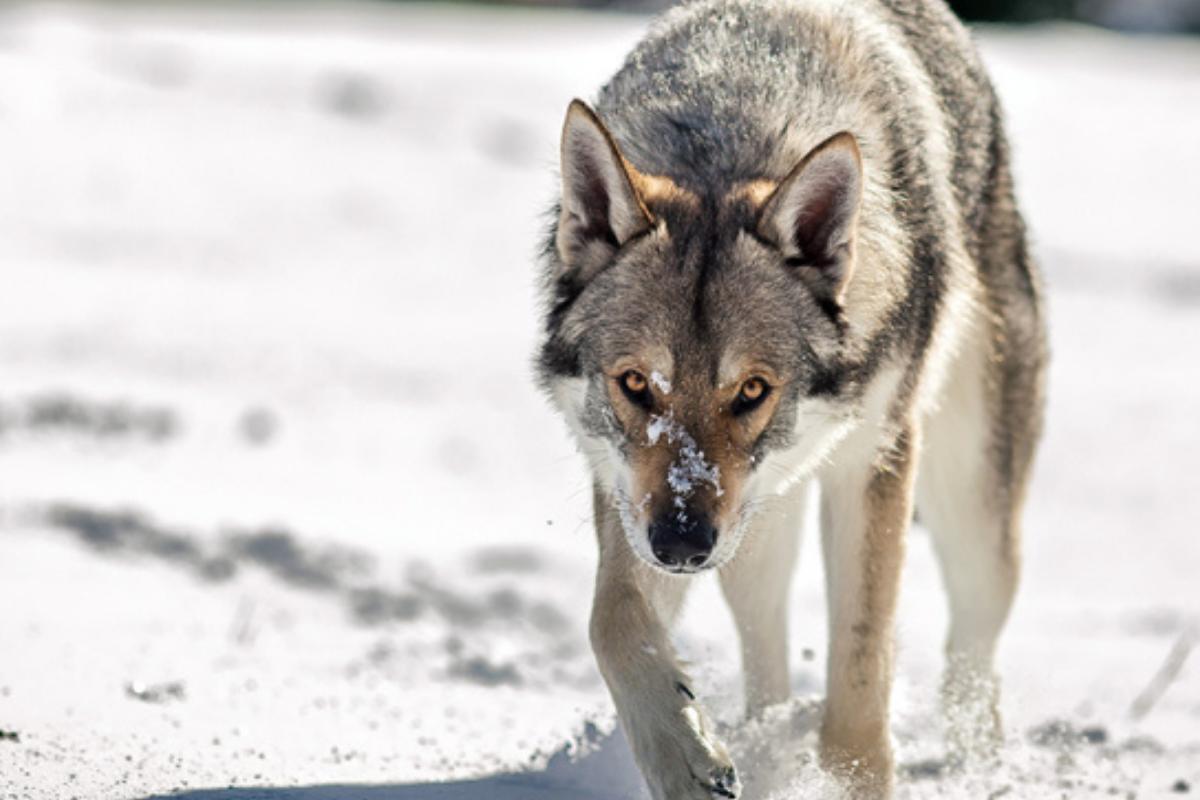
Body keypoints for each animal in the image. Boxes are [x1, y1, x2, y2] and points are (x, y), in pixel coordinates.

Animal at [536, 0, 1046, 795]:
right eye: (636, 385)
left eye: (752, 390)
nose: (681, 544)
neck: (728, 140)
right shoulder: (626, 483)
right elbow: (612, 620)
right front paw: (686, 756)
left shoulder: (875, 462)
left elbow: (861, 672)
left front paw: (852, 780)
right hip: (754, 528)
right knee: (764, 649)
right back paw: (764, 745)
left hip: (973, 515)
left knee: (972, 656)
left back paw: (976, 770)